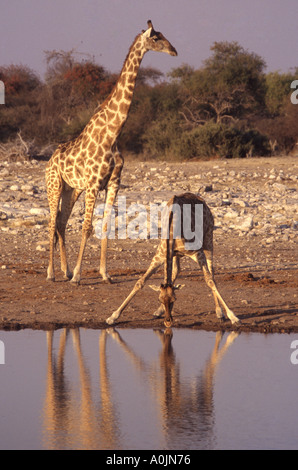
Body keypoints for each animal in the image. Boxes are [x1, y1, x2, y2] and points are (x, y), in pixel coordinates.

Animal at [45, 21, 178, 282]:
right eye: (156, 38)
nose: (174, 51)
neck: (113, 134)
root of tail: (49, 161)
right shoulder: (94, 184)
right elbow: (87, 227)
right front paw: (78, 276)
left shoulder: (113, 183)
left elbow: (106, 226)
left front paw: (105, 274)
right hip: (54, 186)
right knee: (52, 222)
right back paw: (52, 273)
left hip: (71, 189)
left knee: (61, 223)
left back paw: (64, 270)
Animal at [106, 191, 241, 326]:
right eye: (159, 299)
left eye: (174, 300)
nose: (168, 322)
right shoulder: (160, 256)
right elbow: (140, 282)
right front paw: (113, 316)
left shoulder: (198, 253)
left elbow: (209, 280)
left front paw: (233, 317)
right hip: (176, 255)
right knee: (176, 271)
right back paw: (158, 312)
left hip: (208, 239)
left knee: (211, 272)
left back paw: (219, 312)